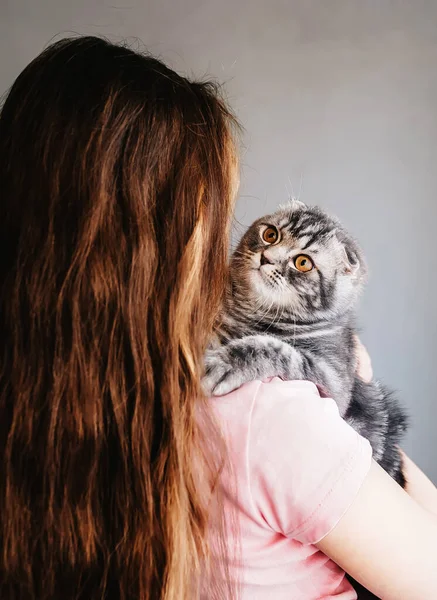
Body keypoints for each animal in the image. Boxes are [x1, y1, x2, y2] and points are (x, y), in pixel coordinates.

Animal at [204, 200, 406, 488]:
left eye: (303, 263)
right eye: (271, 235)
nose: (267, 257)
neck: (251, 312)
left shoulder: (332, 380)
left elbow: (274, 348)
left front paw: (225, 364)